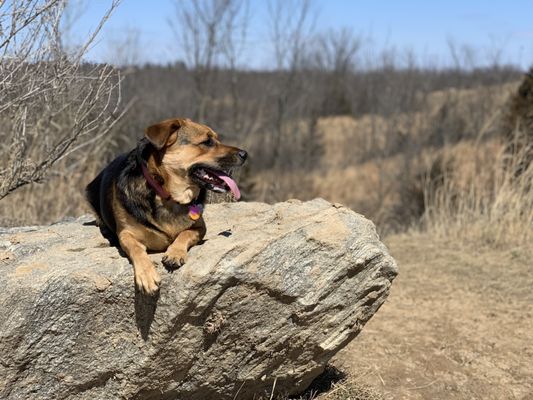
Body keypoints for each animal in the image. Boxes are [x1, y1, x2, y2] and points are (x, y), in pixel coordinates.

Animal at [85, 117, 247, 296]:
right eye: (207, 142)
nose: (245, 154)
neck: (167, 194)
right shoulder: (126, 234)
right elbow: (136, 250)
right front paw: (147, 275)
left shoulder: (200, 227)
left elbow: (184, 234)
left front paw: (175, 253)